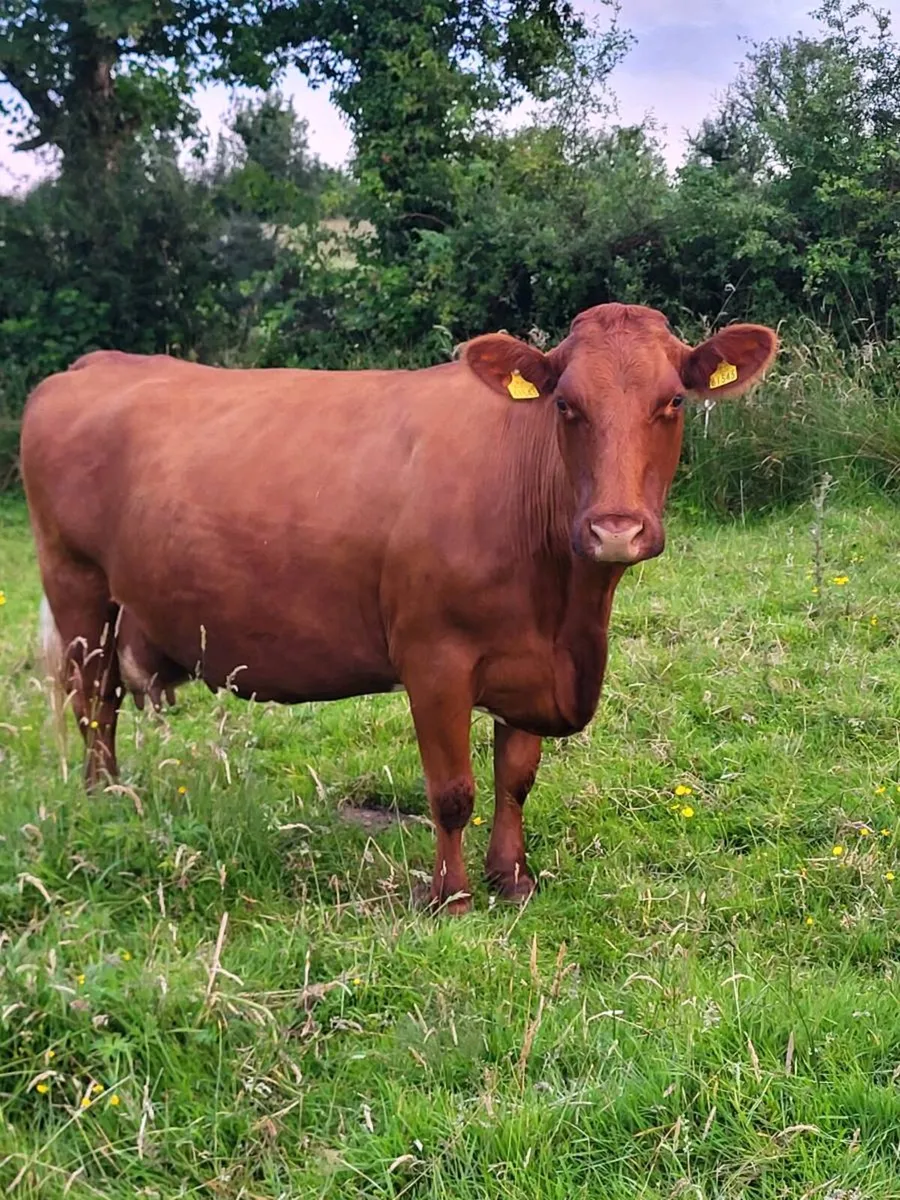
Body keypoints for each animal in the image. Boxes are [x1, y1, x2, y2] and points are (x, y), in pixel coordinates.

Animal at [21, 304, 778, 913]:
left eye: (672, 400)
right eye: (566, 405)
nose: (614, 529)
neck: (568, 615)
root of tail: (95, 362)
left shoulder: (527, 660)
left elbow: (516, 778)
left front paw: (513, 880)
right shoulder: (434, 657)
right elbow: (452, 790)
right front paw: (453, 896)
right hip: (78, 587)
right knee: (95, 704)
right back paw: (106, 803)